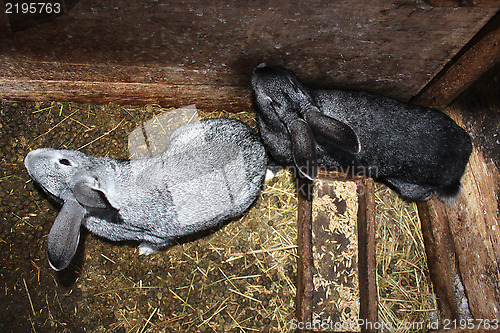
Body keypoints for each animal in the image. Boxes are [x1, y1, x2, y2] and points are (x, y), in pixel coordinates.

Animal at [25, 117, 268, 270]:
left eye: (64, 161)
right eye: (49, 192)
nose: (28, 157)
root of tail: (255, 141)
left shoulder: (157, 236)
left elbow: (156, 244)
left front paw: (143, 251)